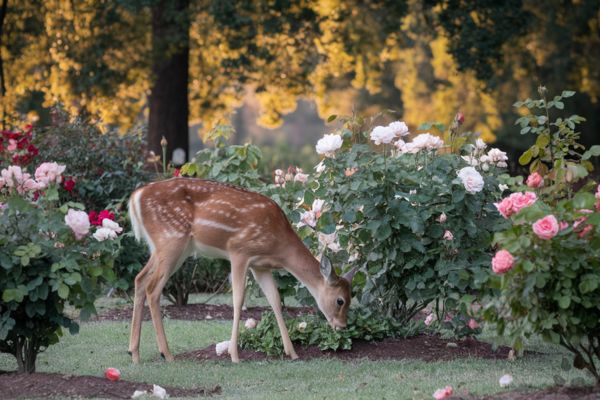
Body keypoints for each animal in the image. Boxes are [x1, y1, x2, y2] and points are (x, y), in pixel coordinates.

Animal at [125, 178, 352, 362]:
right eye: (340, 300)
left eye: (351, 297)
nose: (342, 326)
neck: (279, 248)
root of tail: (136, 196)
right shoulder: (239, 251)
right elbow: (238, 300)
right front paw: (234, 355)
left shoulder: (260, 266)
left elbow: (275, 301)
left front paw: (292, 353)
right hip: (171, 240)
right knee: (153, 288)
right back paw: (167, 354)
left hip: (168, 248)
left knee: (140, 279)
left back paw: (134, 353)